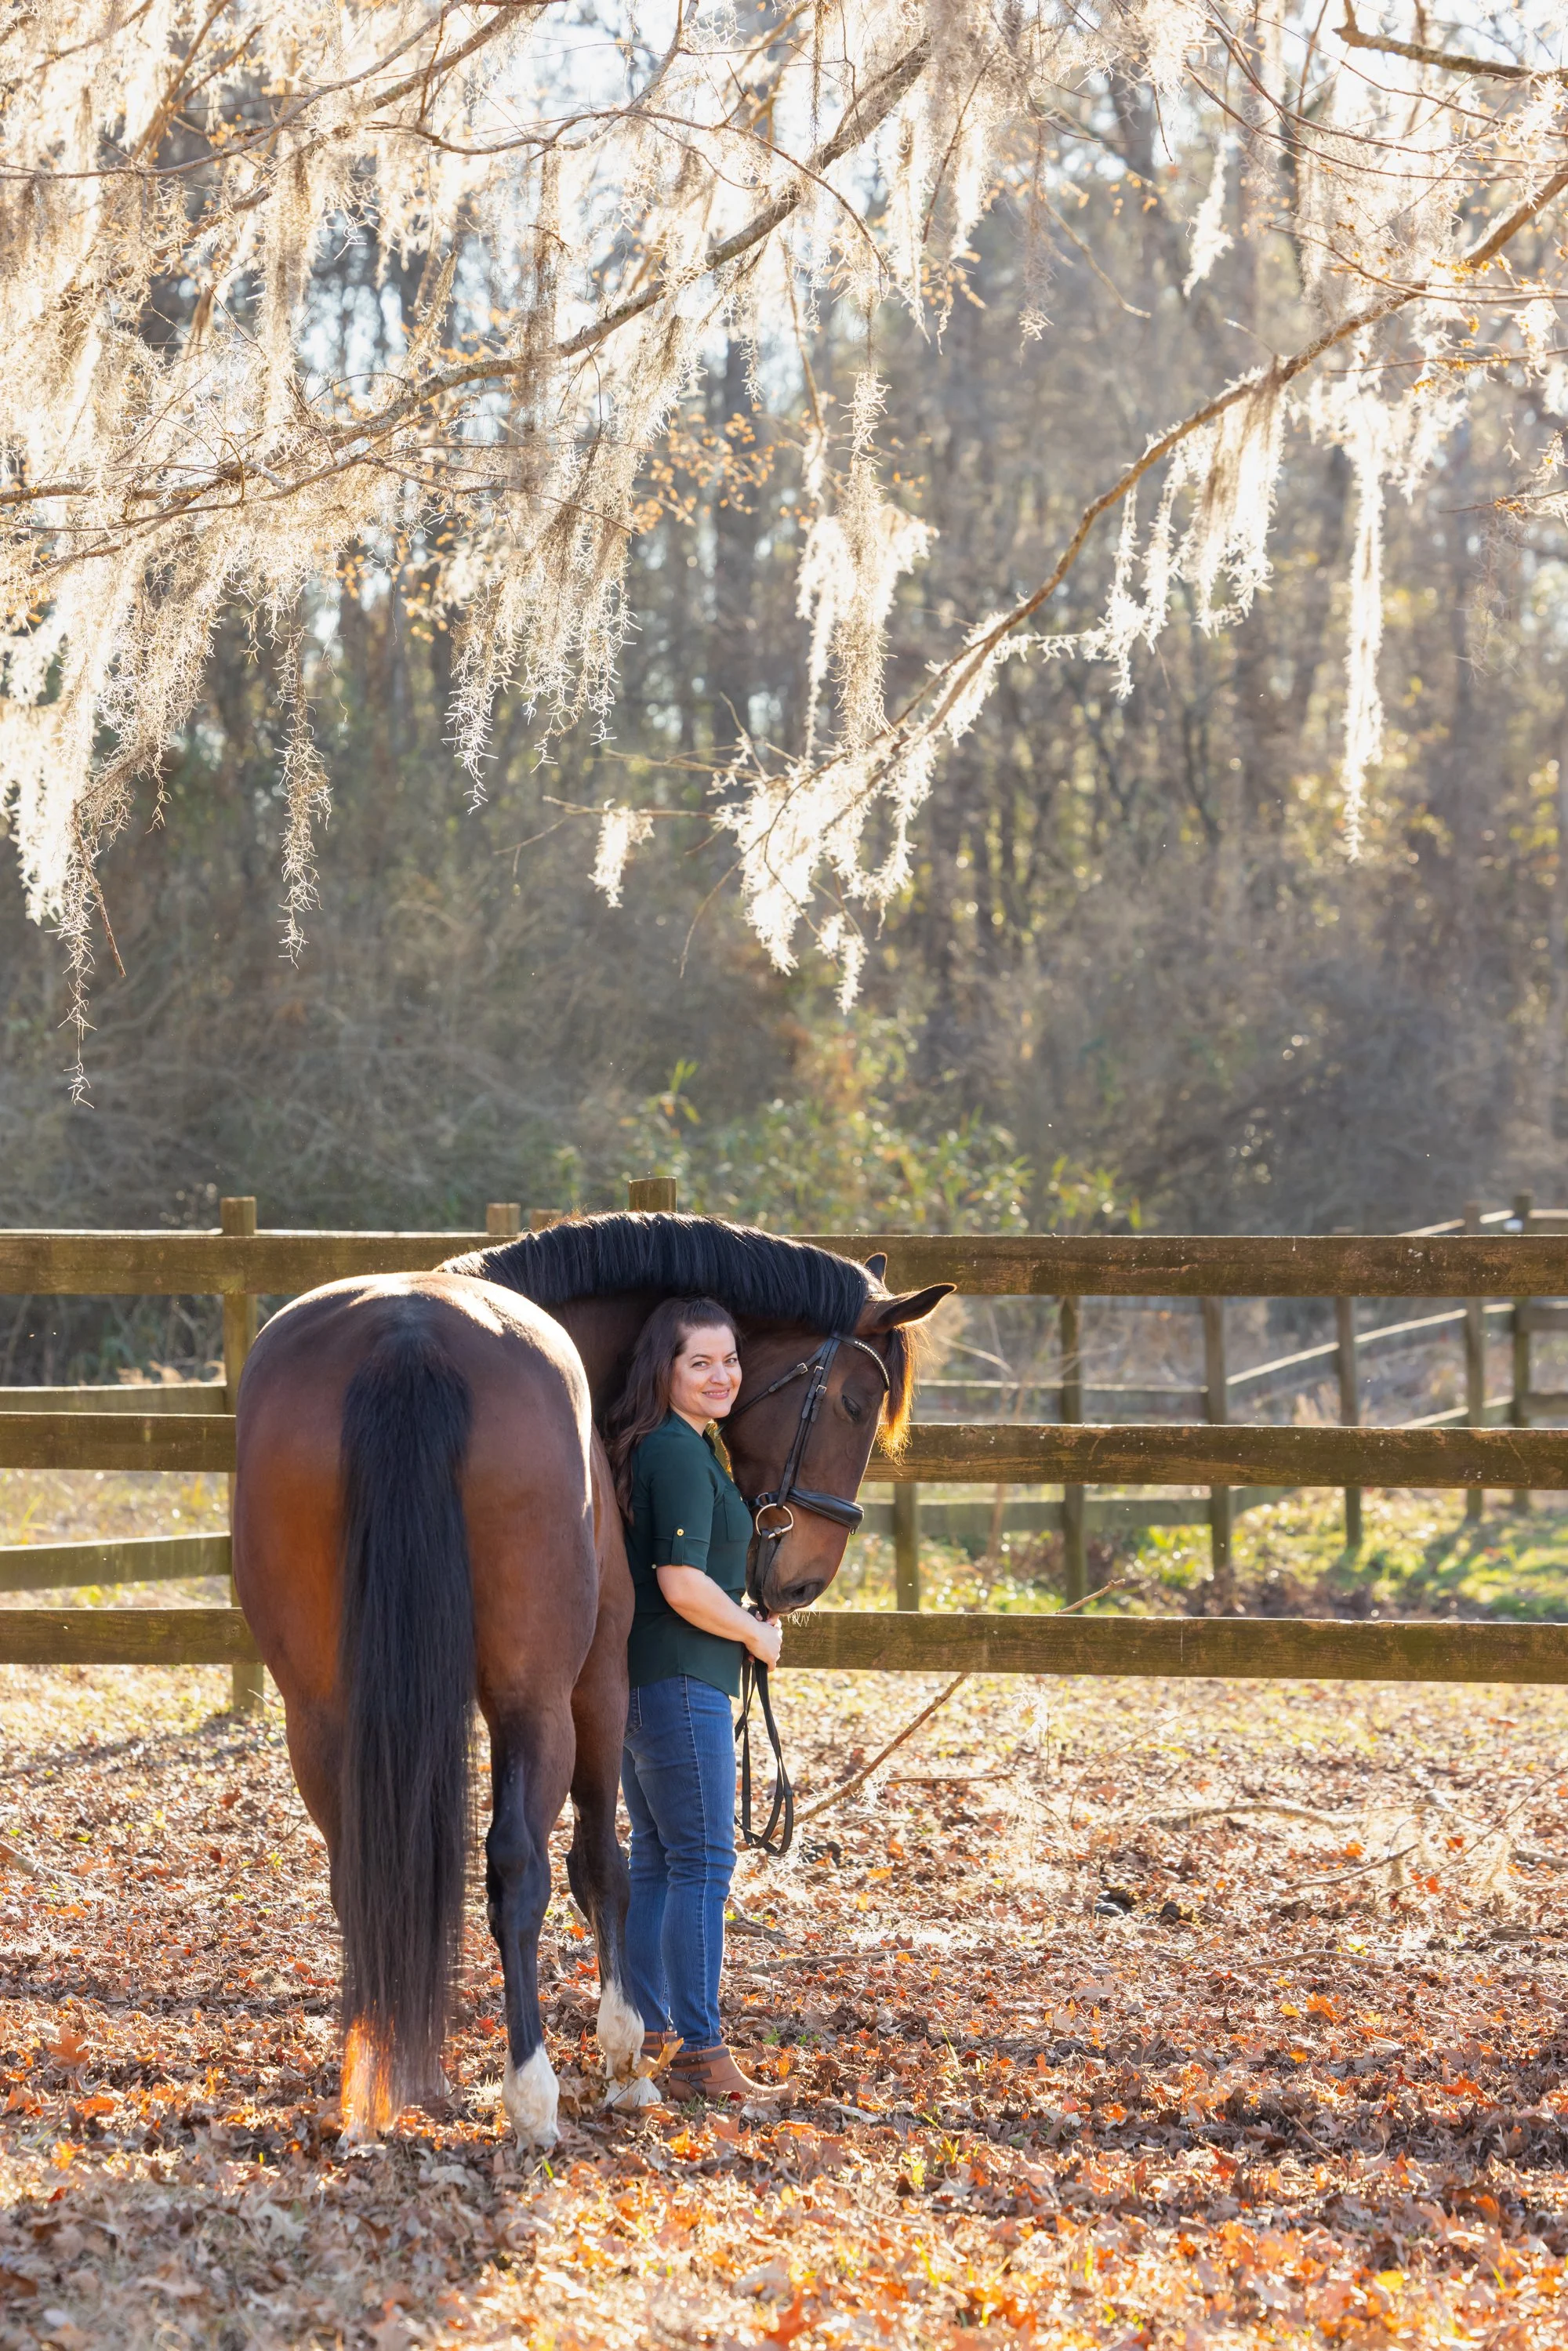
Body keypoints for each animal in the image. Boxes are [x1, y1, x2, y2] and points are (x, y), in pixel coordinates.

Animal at [231, 1212, 950, 2147]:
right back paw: (532, 2094)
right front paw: (624, 2055)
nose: (800, 1583)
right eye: (853, 1403)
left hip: (318, 1709)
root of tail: (408, 1336)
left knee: (361, 1872)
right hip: (538, 1699)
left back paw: (375, 2085)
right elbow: (602, 1862)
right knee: (518, 1868)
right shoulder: (600, 1683)